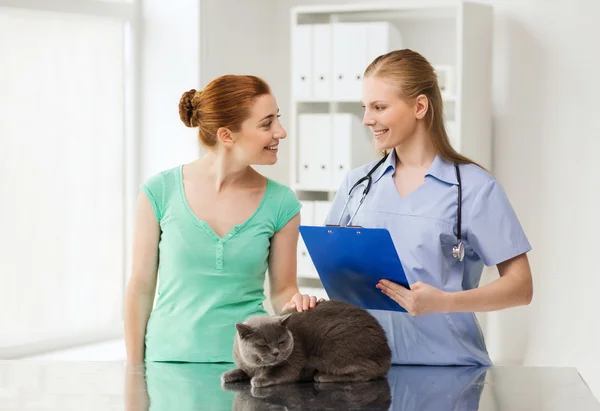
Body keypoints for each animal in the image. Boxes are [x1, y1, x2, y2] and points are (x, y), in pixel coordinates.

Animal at [221, 300, 394, 390]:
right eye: (263, 345)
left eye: (281, 342)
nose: (276, 352)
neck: (256, 367)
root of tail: (387, 351)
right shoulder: (247, 365)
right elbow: (242, 370)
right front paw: (229, 374)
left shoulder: (294, 361)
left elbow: (280, 373)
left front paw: (260, 379)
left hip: (335, 349)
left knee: (368, 372)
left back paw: (322, 376)